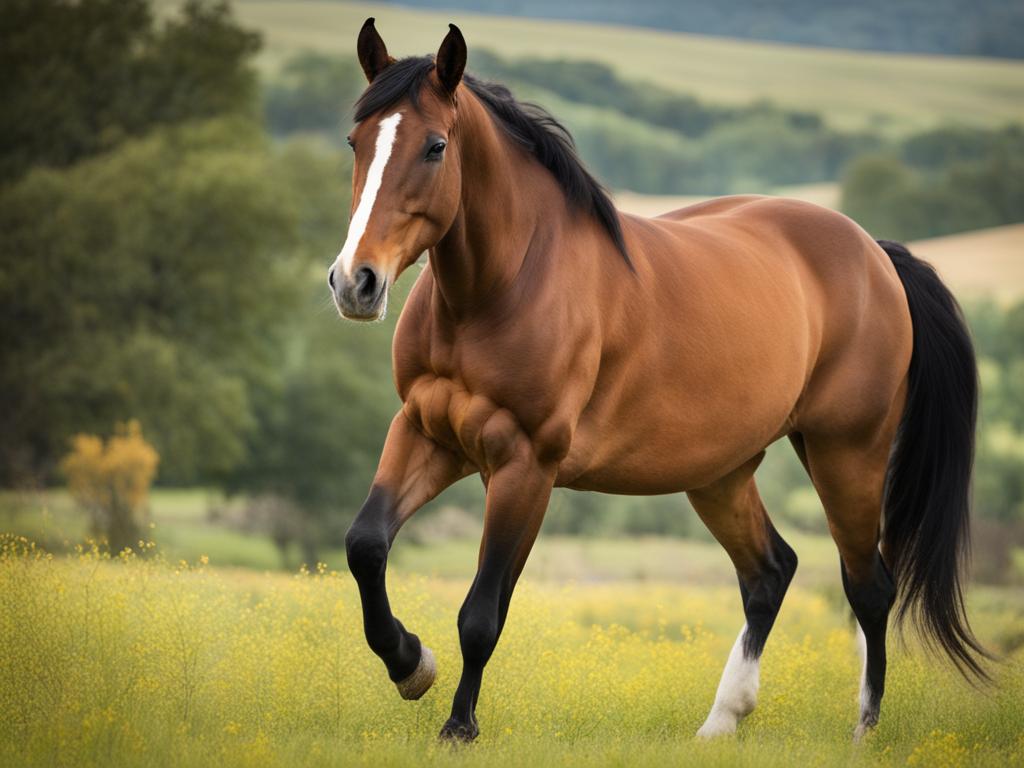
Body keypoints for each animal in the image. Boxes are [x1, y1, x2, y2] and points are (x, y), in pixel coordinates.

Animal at [328, 18, 990, 742]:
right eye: (357, 141)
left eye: (436, 146)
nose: (355, 282)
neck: (504, 286)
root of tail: (878, 255)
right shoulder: (427, 432)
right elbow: (365, 546)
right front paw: (409, 662)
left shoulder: (525, 464)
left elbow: (482, 613)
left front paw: (458, 727)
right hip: (721, 472)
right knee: (770, 572)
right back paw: (722, 722)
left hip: (847, 453)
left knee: (868, 586)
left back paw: (861, 733)